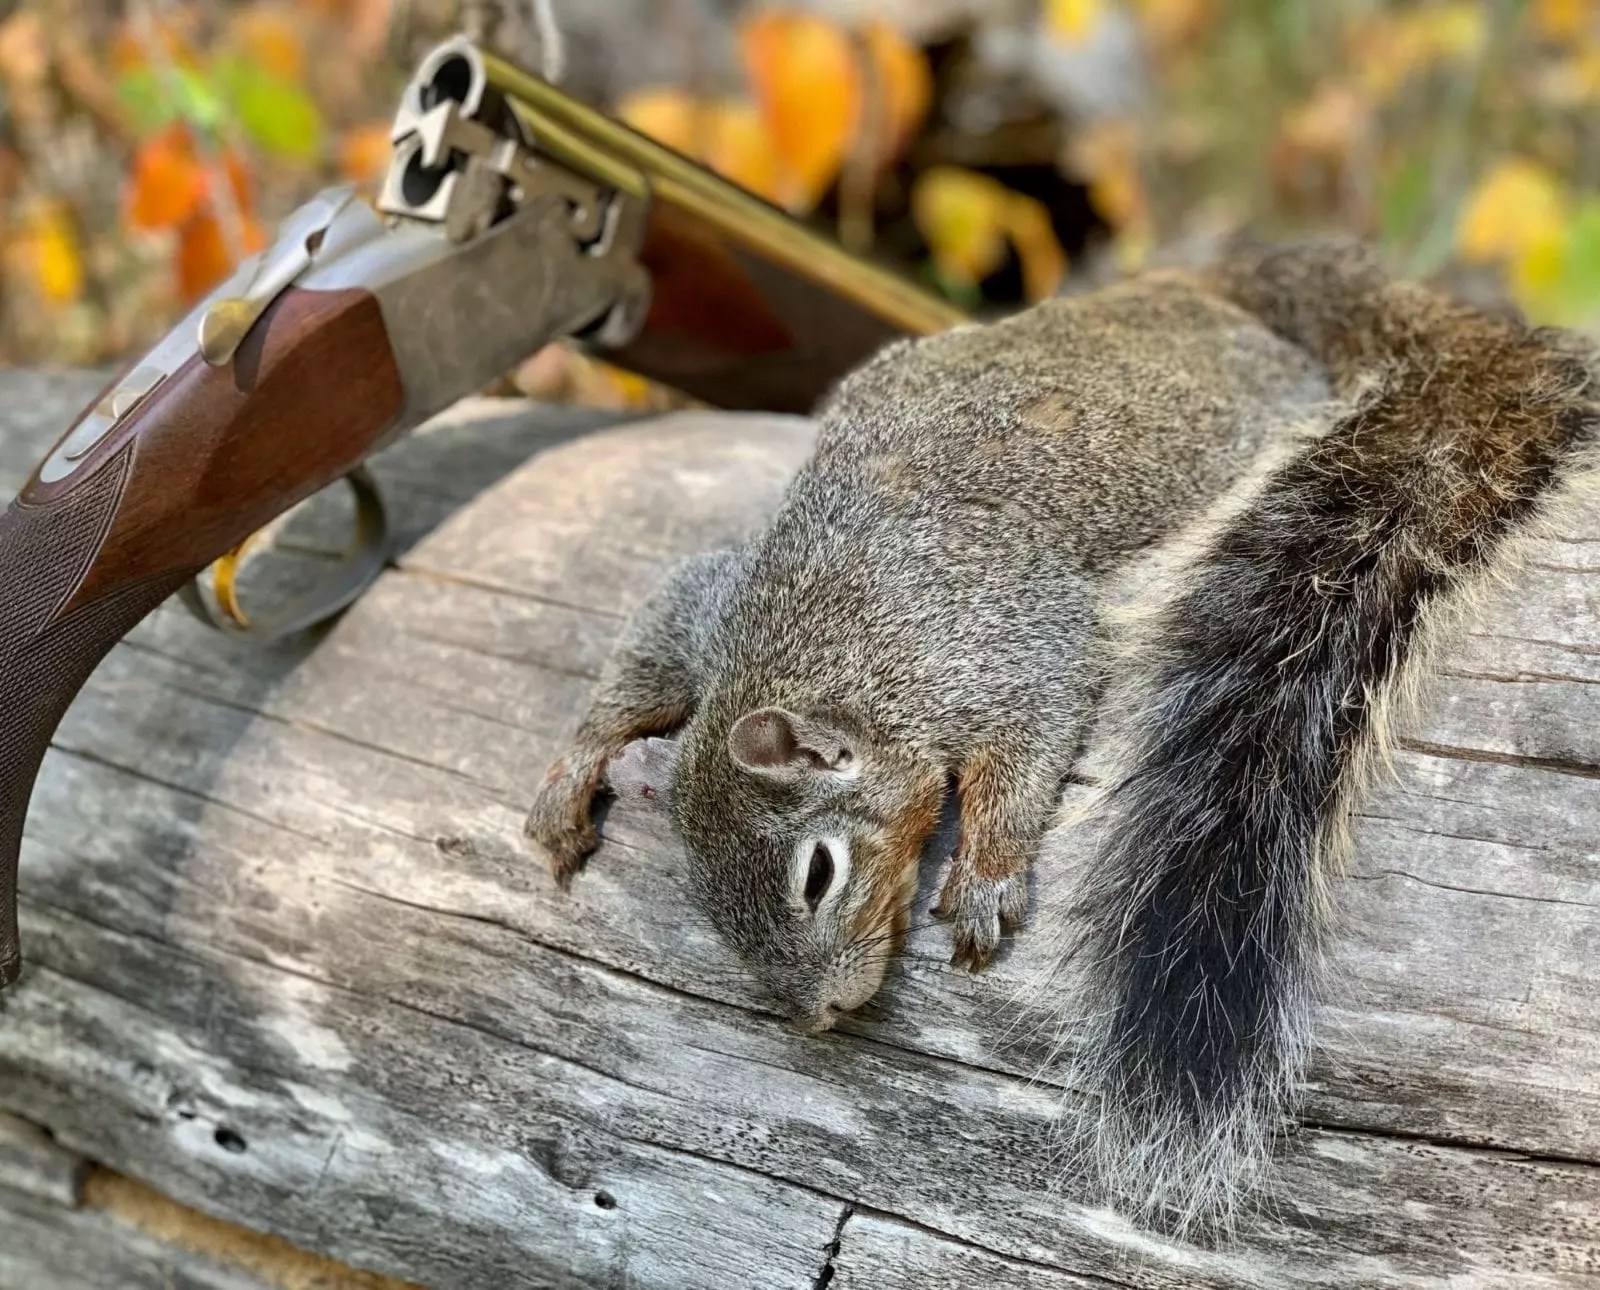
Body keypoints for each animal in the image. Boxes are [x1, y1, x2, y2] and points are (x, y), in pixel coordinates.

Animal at [524, 241, 1598, 1231]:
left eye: (819, 875)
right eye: (708, 906)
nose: (822, 1015)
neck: (825, 645)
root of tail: (1211, 282)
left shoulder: (1002, 640)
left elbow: (1028, 744)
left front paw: (986, 876)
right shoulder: (717, 610)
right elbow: (649, 638)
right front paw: (568, 776)